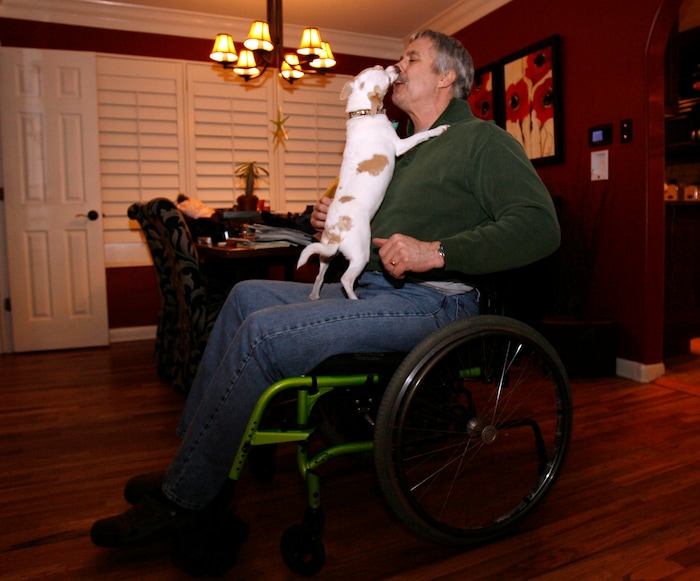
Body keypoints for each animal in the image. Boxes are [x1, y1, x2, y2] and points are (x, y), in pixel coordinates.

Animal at [296, 65, 448, 300]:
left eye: (380, 68)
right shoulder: (399, 145)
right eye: (386, 76)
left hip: (326, 254)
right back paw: (354, 299)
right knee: (346, 279)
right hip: (360, 255)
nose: (396, 66)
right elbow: (420, 136)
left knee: (320, 275)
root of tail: (336, 234)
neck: (363, 113)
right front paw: (438, 129)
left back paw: (314, 296)